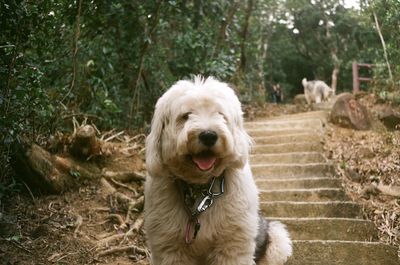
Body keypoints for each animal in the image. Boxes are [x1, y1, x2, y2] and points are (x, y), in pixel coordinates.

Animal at [144, 76, 290, 264]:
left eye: (220, 114)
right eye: (186, 115)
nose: (208, 135)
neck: (201, 188)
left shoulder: (233, 242)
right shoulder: (169, 246)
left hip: (276, 239)